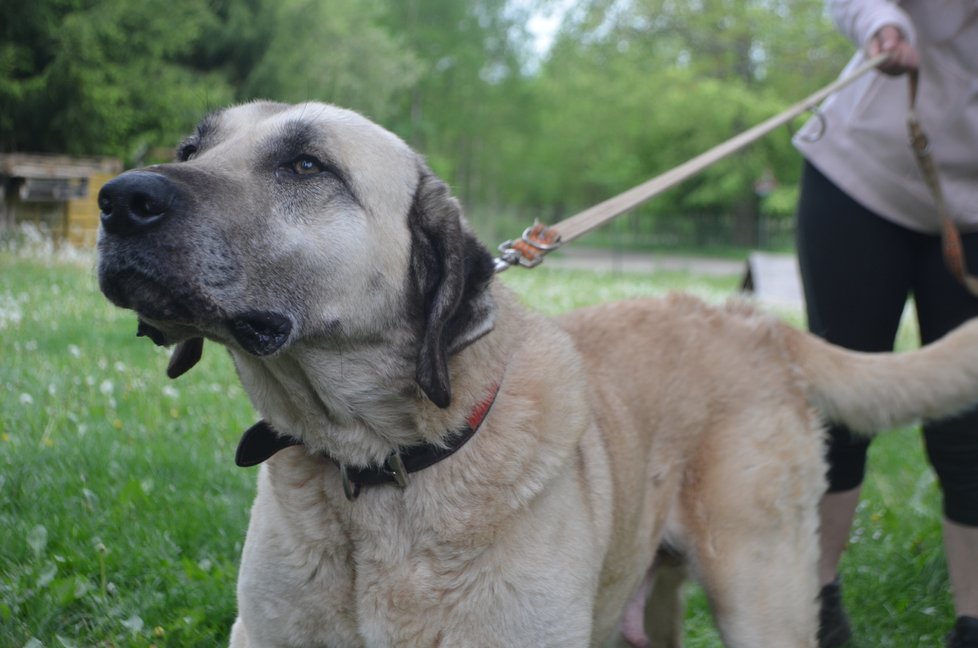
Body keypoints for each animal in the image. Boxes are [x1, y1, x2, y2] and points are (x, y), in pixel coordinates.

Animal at [95, 101, 976, 648]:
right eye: (192, 150)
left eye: (308, 166)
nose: (119, 198)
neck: (379, 472)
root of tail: (747, 318)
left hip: (761, 592)